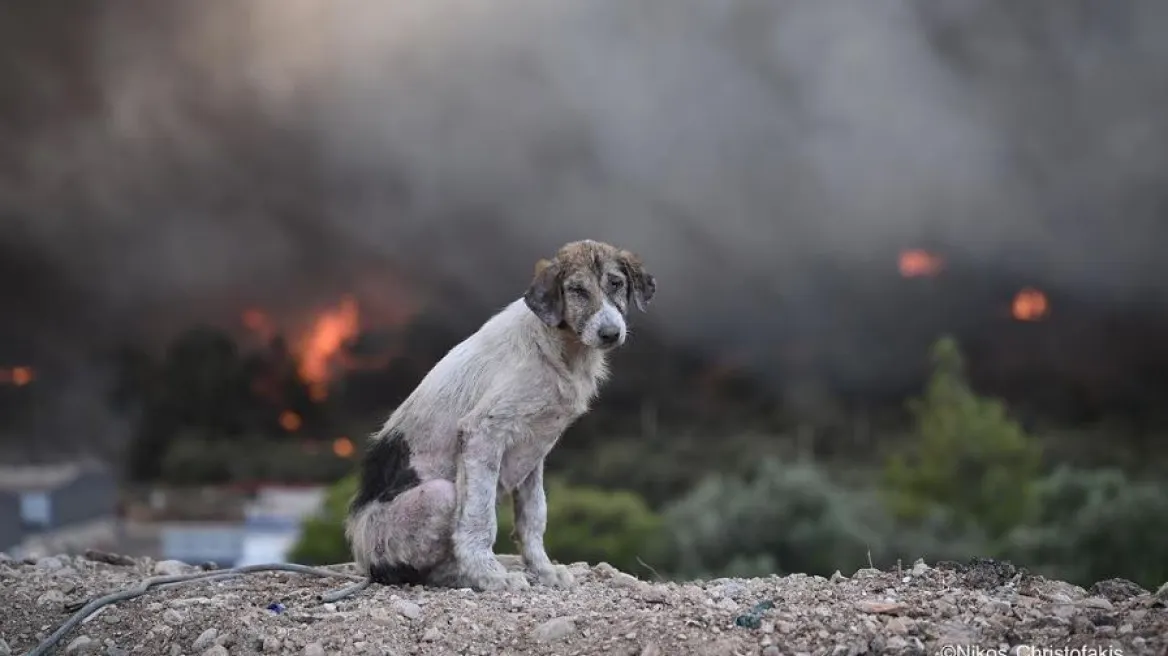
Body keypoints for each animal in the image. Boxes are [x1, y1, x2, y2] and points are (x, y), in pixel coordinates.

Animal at [345, 236, 658, 590]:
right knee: (421, 569)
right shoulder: (482, 432)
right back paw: (463, 575)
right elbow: (479, 519)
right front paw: (489, 575)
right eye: (577, 290)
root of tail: (365, 560)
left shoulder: (535, 449)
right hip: (440, 494)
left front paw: (544, 571)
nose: (610, 333)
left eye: (616, 283)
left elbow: (534, 516)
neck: (560, 348)